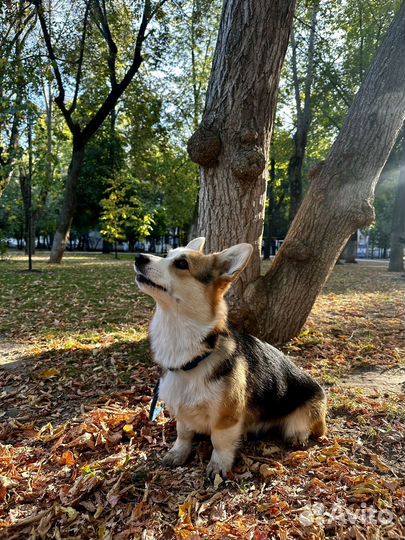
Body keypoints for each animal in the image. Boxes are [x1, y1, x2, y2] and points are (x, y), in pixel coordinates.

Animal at [134, 236, 326, 476]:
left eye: (181, 264)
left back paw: (297, 435)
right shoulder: (183, 412)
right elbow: (183, 434)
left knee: (302, 428)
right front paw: (178, 453)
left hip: (307, 411)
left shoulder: (226, 417)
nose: (138, 257)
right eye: (168, 254)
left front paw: (218, 467)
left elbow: (220, 443)